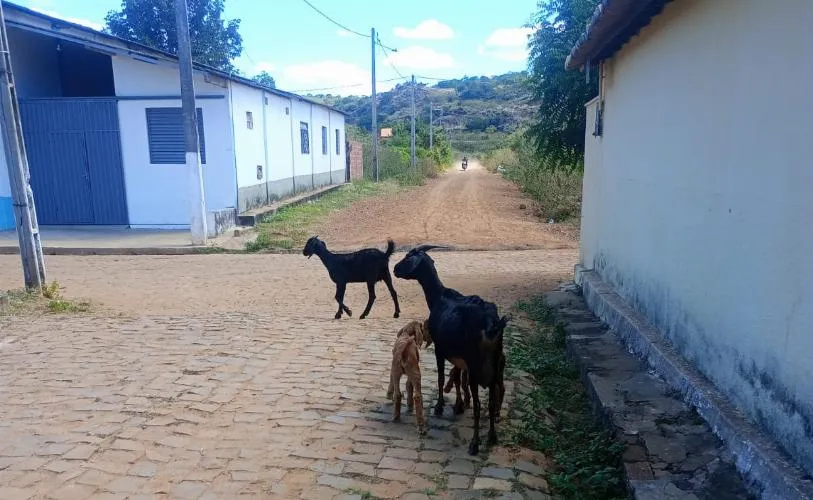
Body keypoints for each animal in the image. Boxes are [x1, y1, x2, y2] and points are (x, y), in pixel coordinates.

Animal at [392, 244, 508, 456]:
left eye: (408, 257)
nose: (395, 269)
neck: (440, 297)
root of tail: (491, 324)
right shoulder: (459, 357)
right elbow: (457, 375)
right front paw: (459, 405)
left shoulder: (440, 349)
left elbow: (440, 377)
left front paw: (439, 406)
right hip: (496, 365)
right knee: (493, 397)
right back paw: (492, 436)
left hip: (477, 366)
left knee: (480, 404)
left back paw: (474, 444)